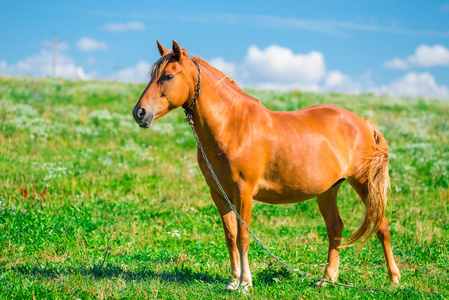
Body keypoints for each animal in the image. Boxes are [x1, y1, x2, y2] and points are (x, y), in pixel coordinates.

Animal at [132, 40, 400, 290]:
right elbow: (230, 236)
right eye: (152, 76)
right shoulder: (219, 194)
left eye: (168, 76)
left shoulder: (244, 192)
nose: (139, 113)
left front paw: (245, 283)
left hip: (363, 183)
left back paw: (393, 279)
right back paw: (327, 279)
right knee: (335, 228)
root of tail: (363, 123)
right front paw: (233, 281)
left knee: (381, 226)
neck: (232, 126)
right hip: (328, 190)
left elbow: (243, 237)